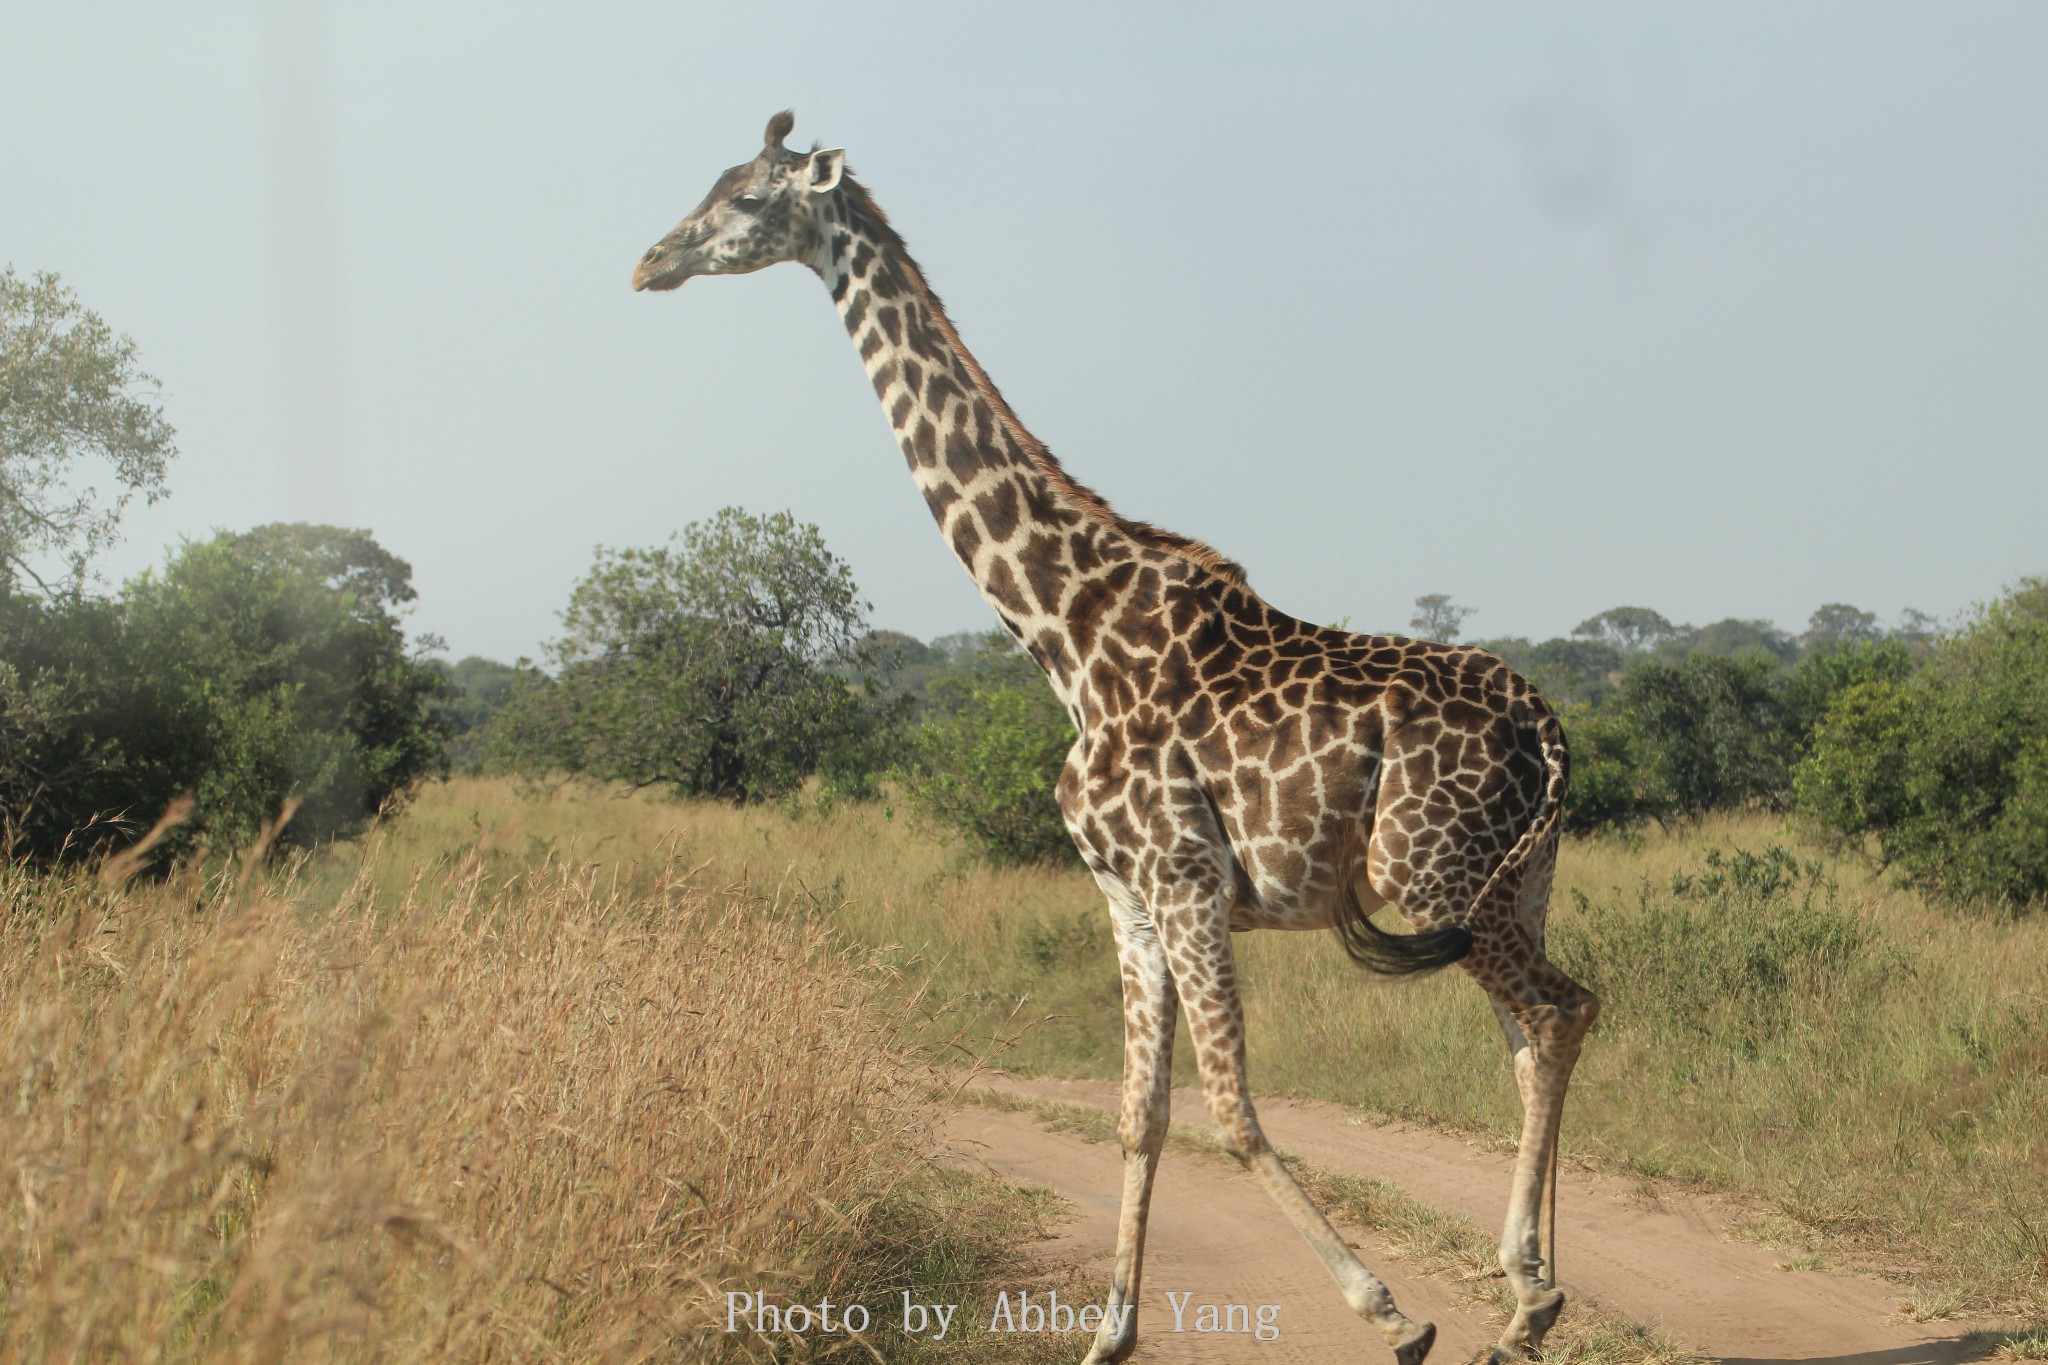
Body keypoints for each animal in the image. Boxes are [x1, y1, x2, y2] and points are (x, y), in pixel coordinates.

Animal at [630, 112, 1589, 1358]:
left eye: (744, 198)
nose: (650, 261)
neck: (1067, 633)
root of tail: (1545, 723)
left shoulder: (1181, 877)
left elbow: (1229, 1108)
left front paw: (1388, 1313)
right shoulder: (1124, 894)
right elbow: (1140, 1114)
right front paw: (1106, 1337)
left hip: (1435, 879)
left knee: (1556, 1013)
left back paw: (1525, 1303)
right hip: (1514, 883)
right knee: (1537, 1032)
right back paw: (1528, 1292)